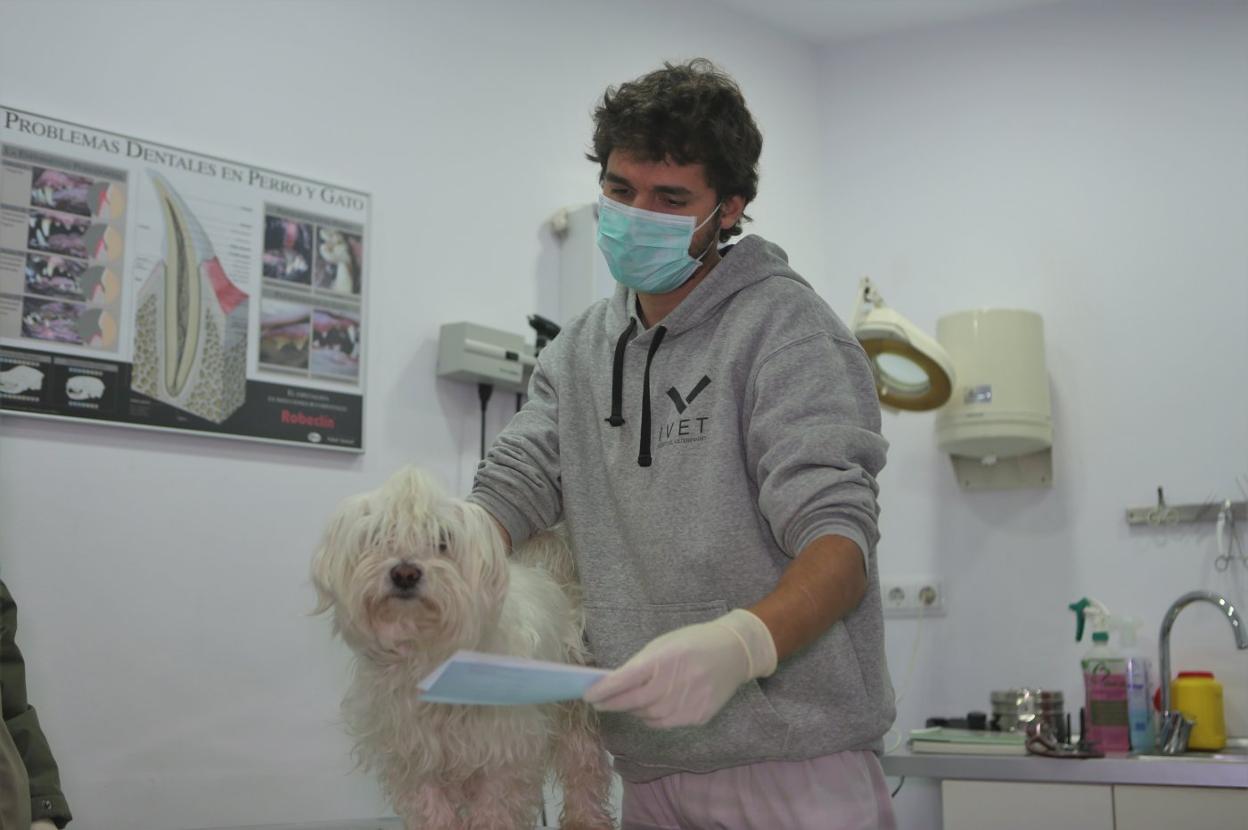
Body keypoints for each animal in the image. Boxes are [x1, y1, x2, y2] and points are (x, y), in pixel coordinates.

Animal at [312, 466, 614, 828]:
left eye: (443, 541)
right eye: (378, 537)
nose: (405, 573)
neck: (430, 651)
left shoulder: (503, 755)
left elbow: (493, 811)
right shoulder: (415, 757)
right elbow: (432, 810)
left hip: (573, 716)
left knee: (584, 770)